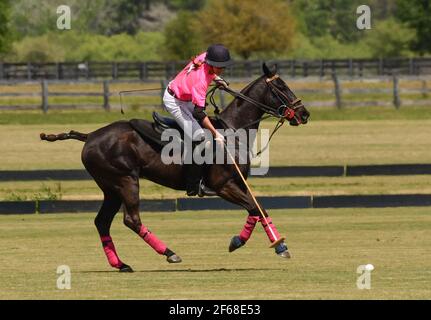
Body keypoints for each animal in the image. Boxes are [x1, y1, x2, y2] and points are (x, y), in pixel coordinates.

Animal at [40, 63, 310, 272]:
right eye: (281, 87)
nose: (304, 114)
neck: (233, 130)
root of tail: (90, 136)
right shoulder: (223, 186)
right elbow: (254, 207)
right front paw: (264, 244)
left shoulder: (237, 183)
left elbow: (258, 209)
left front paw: (273, 244)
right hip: (125, 181)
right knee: (131, 219)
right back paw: (169, 253)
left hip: (110, 188)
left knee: (102, 222)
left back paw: (121, 264)